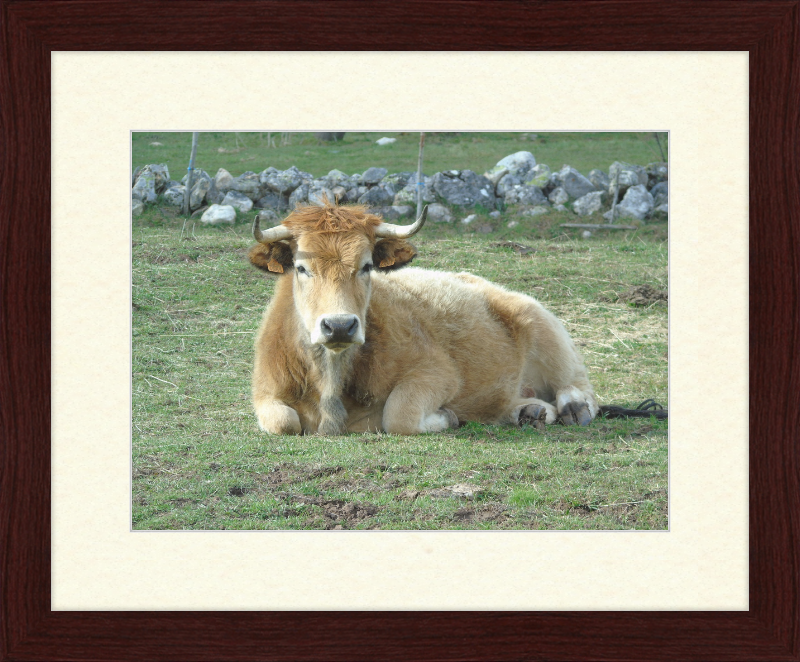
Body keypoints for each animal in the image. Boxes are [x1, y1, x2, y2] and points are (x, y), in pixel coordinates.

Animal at [247, 200, 596, 438]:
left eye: (366, 266)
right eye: (302, 267)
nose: (340, 326)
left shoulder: (438, 374)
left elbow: (398, 414)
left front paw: (448, 417)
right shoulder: (265, 393)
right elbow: (283, 422)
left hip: (544, 328)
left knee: (578, 385)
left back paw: (573, 407)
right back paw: (529, 411)